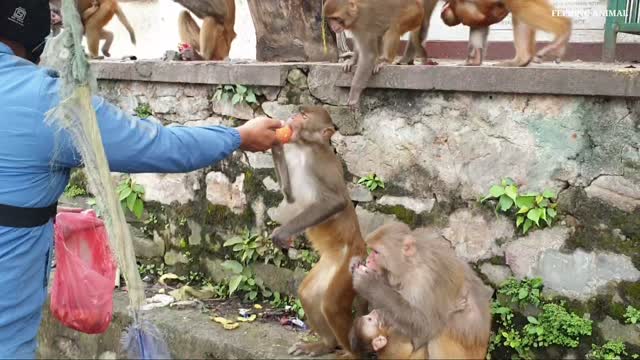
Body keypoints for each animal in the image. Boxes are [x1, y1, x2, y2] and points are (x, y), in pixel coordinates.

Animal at [268, 106, 368, 358]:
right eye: (298, 112)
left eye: (304, 116)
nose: (292, 116)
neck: (305, 148)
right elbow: (290, 198)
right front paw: (275, 143)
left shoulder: (319, 163)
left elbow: (336, 202)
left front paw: (281, 233)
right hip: (329, 266)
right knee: (309, 294)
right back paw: (325, 344)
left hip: (349, 262)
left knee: (332, 305)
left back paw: (353, 354)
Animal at [352, 224, 492, 358]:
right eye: (371, 250)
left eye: (376, 252)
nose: (368, 260)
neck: (412, 262)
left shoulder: (421, 281)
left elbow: (425, 326)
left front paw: (370, 284)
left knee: (437, 337)